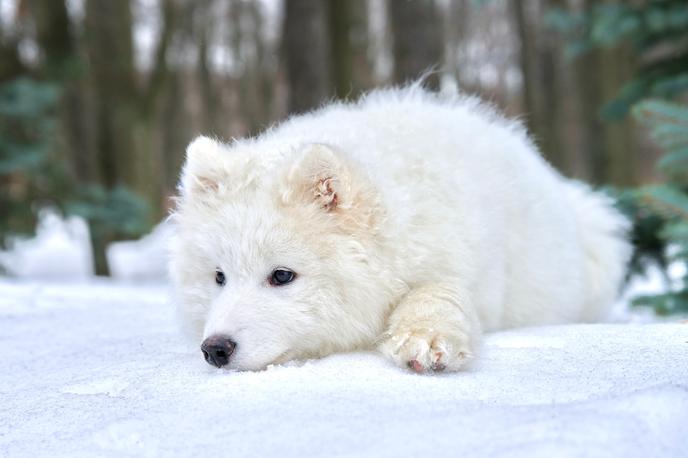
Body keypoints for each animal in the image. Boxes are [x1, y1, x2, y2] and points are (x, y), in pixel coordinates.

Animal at [169, 86, 632, 372]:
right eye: (218, 277)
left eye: (282, 276)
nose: (215, 348)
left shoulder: (456, 261)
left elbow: (437, 292)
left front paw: (425, 340)